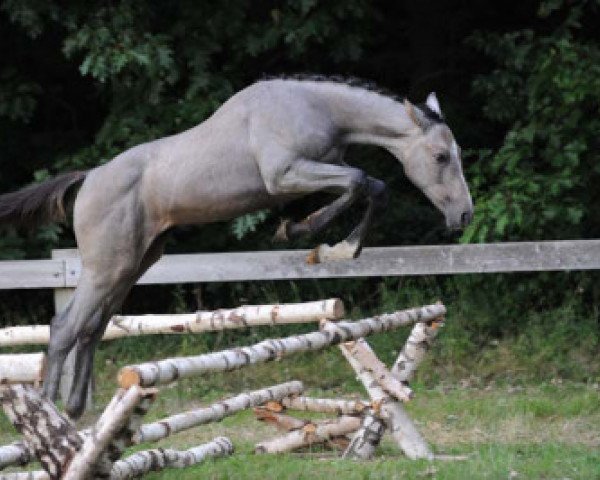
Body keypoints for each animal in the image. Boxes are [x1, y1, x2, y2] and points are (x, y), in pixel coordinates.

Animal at [0, 77, 472, 418]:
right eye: (440, 156)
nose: (464, 216)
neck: (317, 106)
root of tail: (88, 178)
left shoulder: (315, 171)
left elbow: (370, 187)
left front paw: (323, 243)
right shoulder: (285, 175)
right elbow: (359, 182)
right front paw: (308, 236)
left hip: (133, 265)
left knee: (92, 329)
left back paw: (77, 414)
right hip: (106, 268)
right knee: (65, 328)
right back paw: (51, 417)